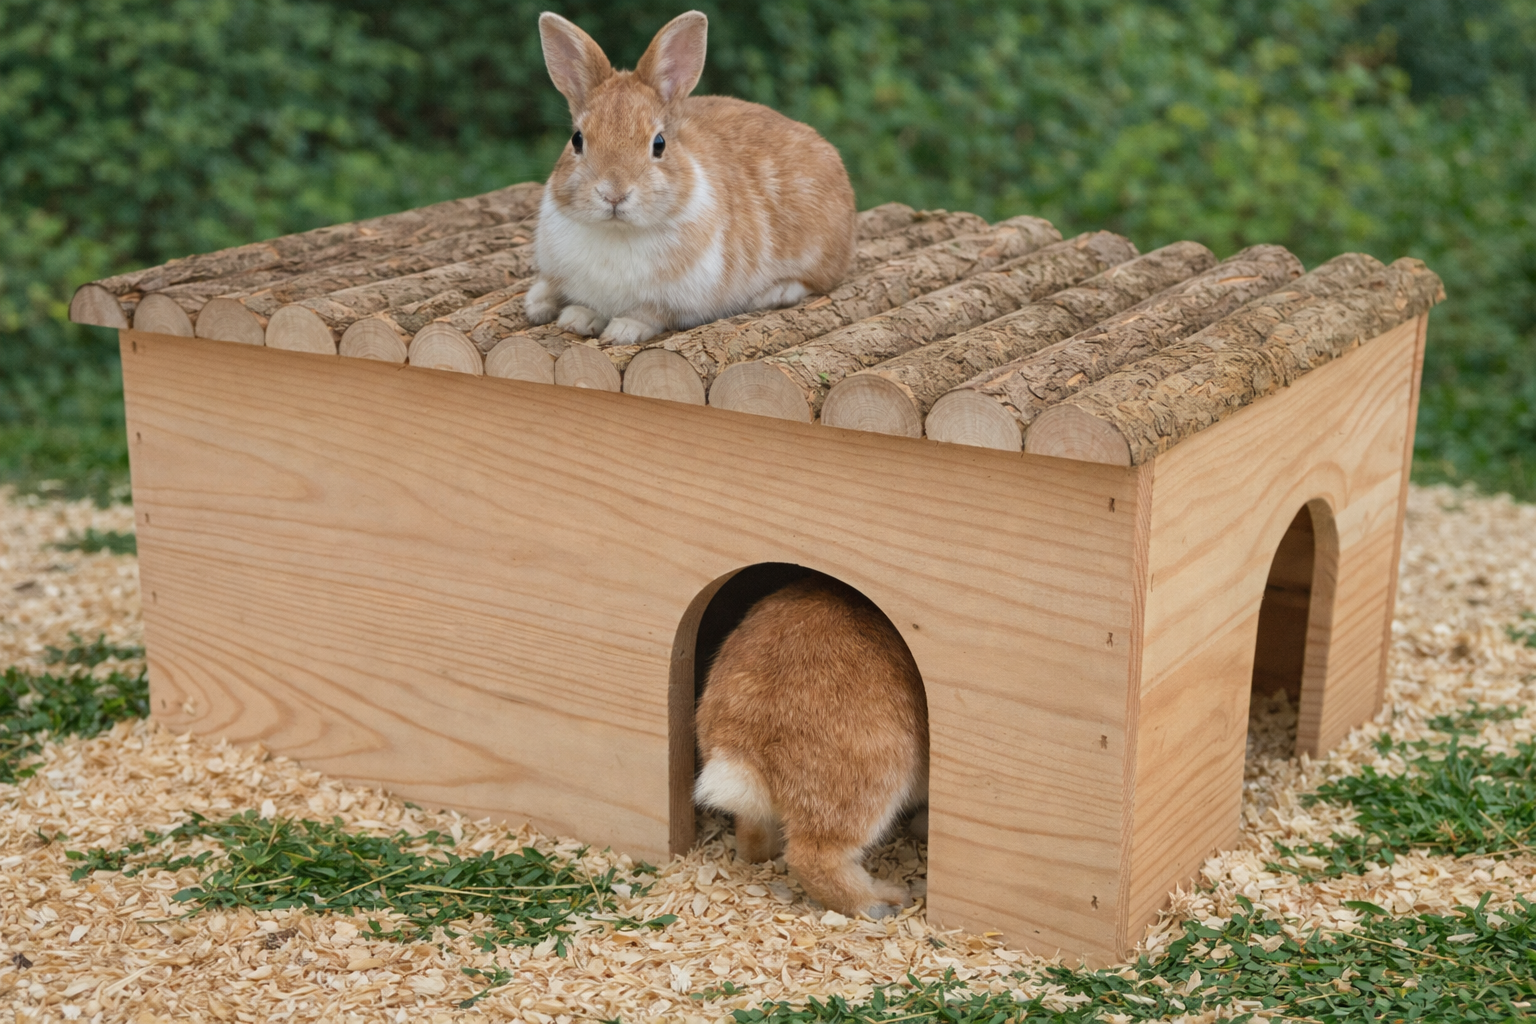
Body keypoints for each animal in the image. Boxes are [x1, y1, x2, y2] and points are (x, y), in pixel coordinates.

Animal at [526, 11, 857, 346]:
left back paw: (775, 293)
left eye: (659, 144)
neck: (617, 231)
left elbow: (650, 314)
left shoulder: (679, 300)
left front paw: (621, 330)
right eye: (577, 139)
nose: (613, 194)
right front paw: (573, 317)